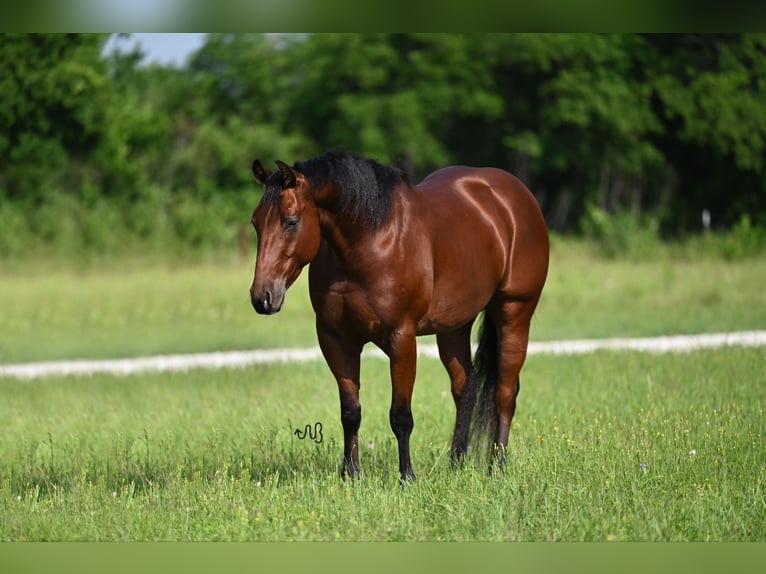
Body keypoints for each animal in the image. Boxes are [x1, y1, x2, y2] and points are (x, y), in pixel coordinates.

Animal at [249, 151, 548, 484]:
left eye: (291, 221)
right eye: (256, 223)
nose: (262, 297)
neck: (369, 239)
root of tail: (516, 197)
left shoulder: (401, 339)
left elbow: (401, 415)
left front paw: (406, 477)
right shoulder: (336, 340)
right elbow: (350, 412)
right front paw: (351, 475)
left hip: (514, 313)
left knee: (505, 393)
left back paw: (497, 466)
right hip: (454, 327)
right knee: (465, 388)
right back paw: (456, 463)